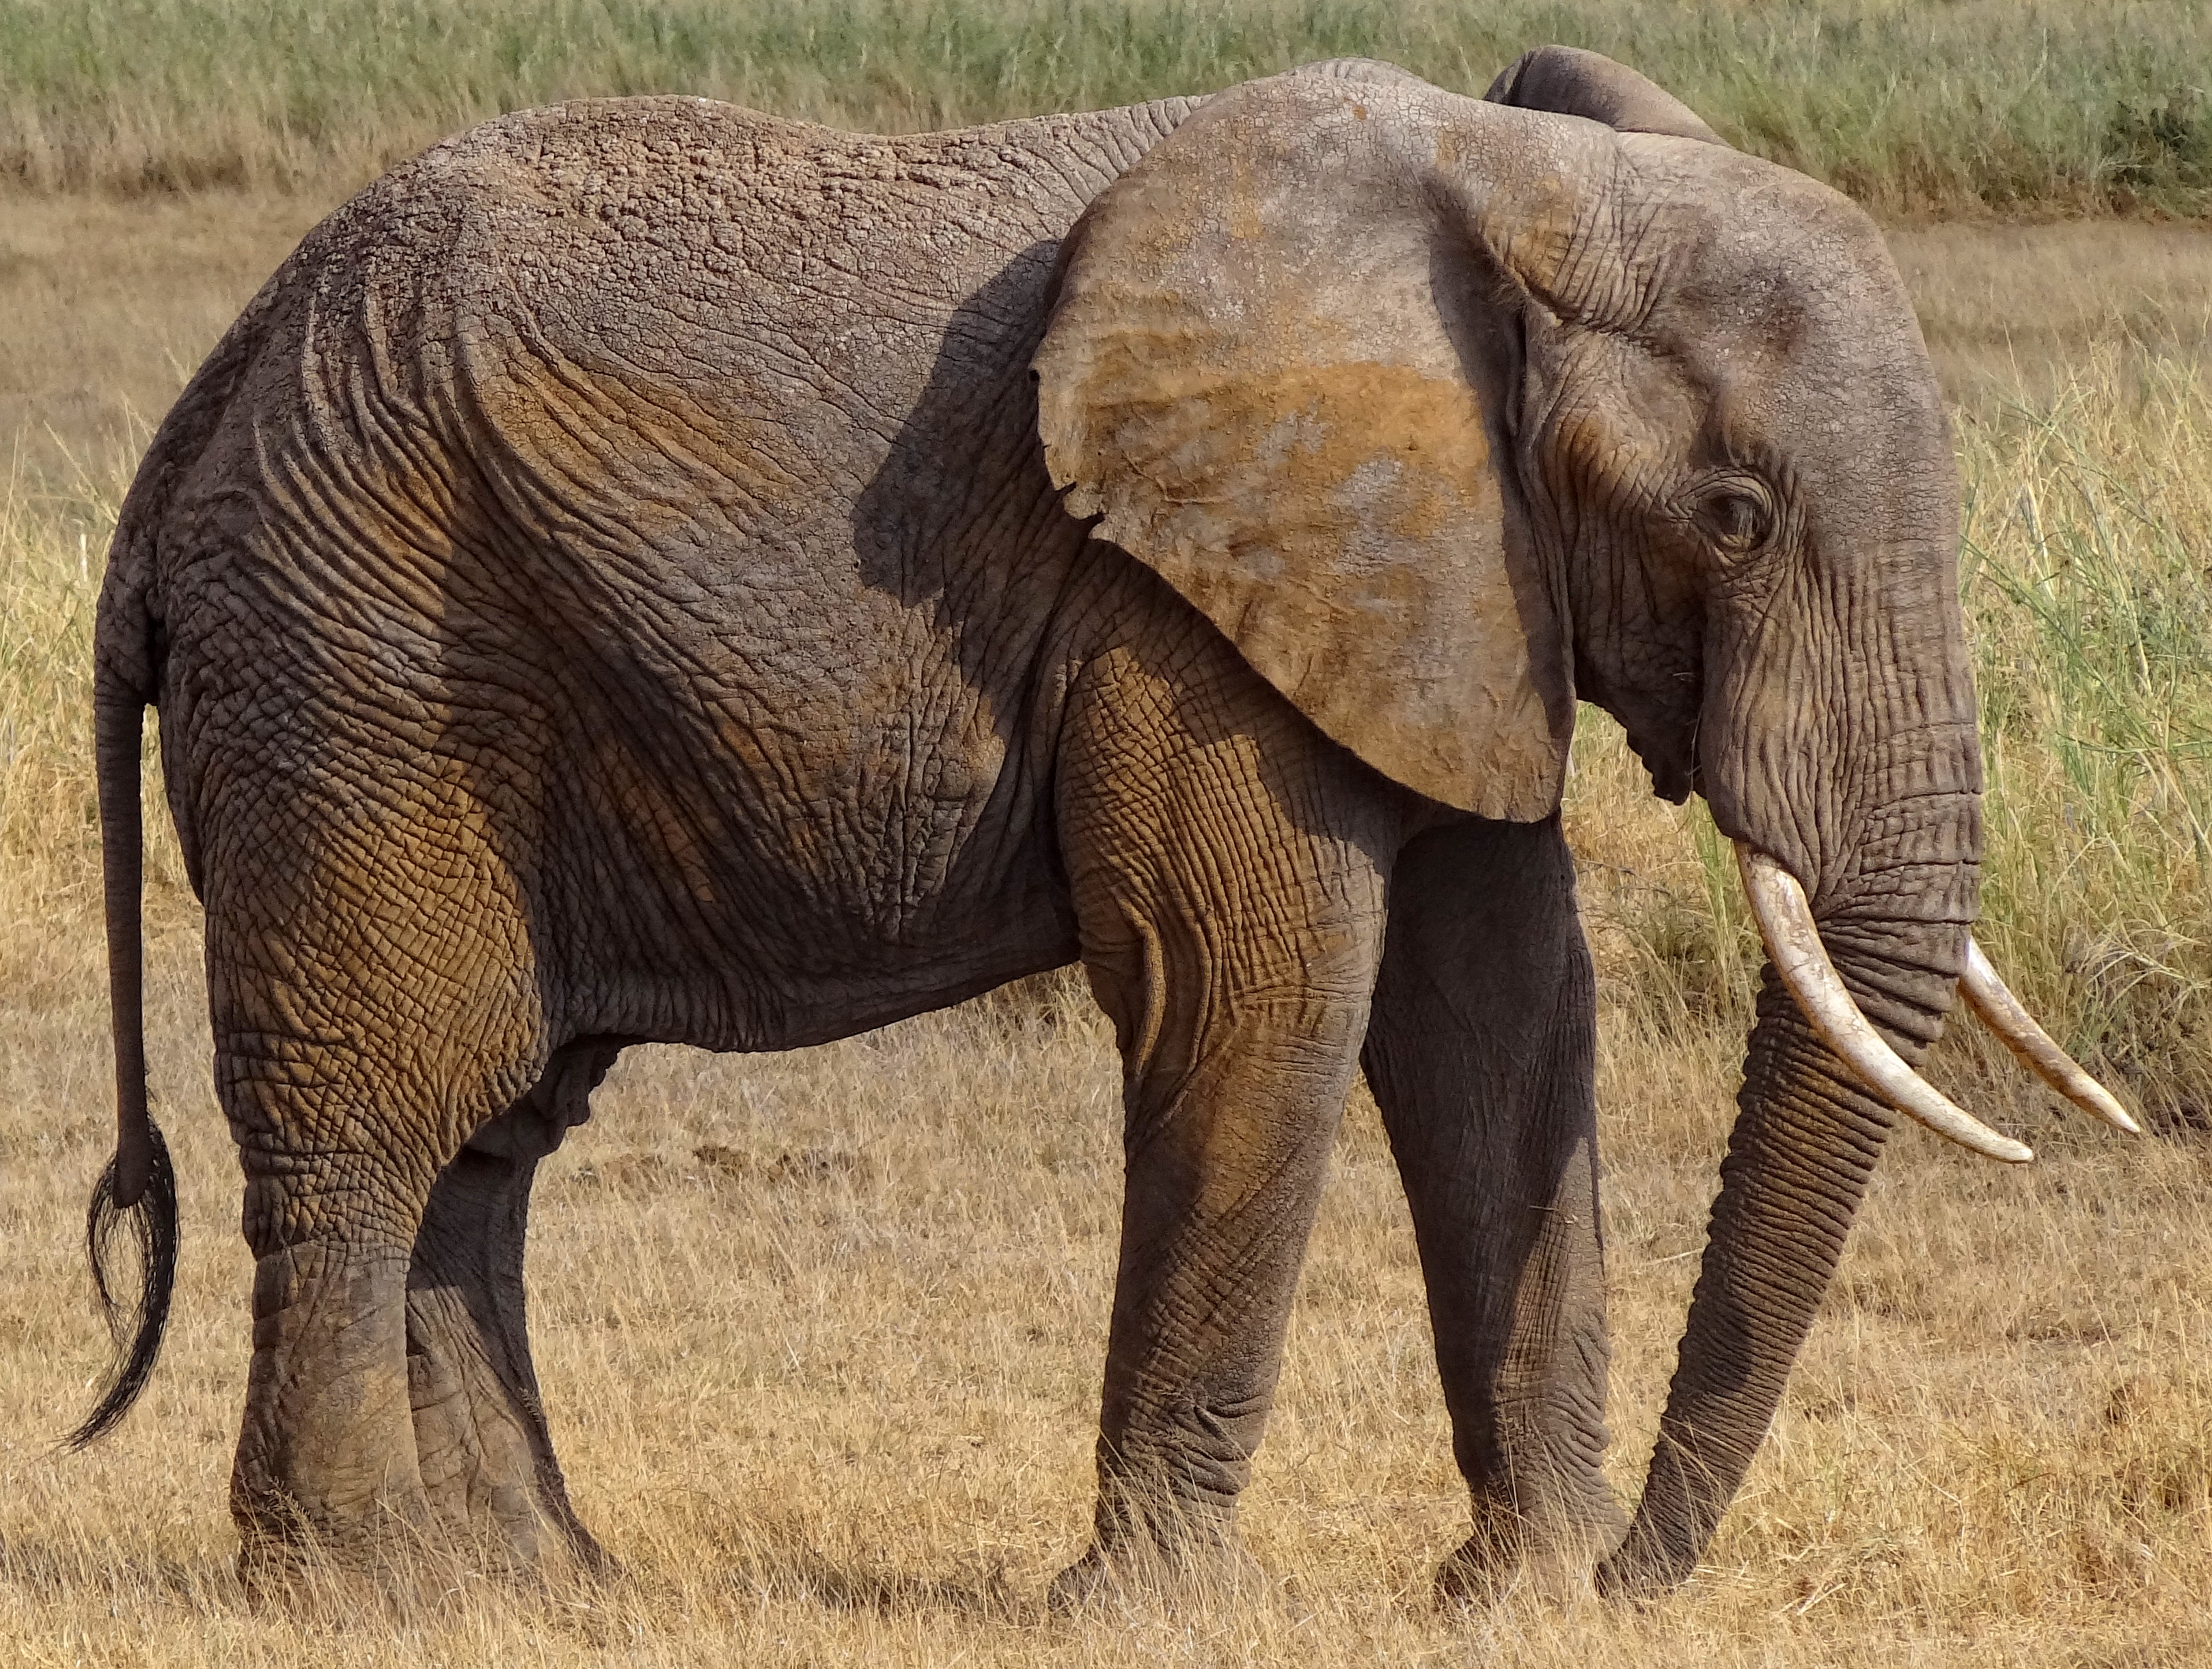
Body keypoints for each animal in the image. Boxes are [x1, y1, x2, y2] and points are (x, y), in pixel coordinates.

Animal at [78, 45, 2132, 1600]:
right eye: (1729, 518)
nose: (1650, 1576)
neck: (1524, 190)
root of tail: (196, 411)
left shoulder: (1449, 580)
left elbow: (1502, 1016)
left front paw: (1517, 1596)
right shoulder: (1177, 596)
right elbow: (1257, 993)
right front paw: (1158, 1609)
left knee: (490, 1132)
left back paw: (541, 1585)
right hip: (355, 661)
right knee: (374, 1116)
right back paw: (354, 1587)